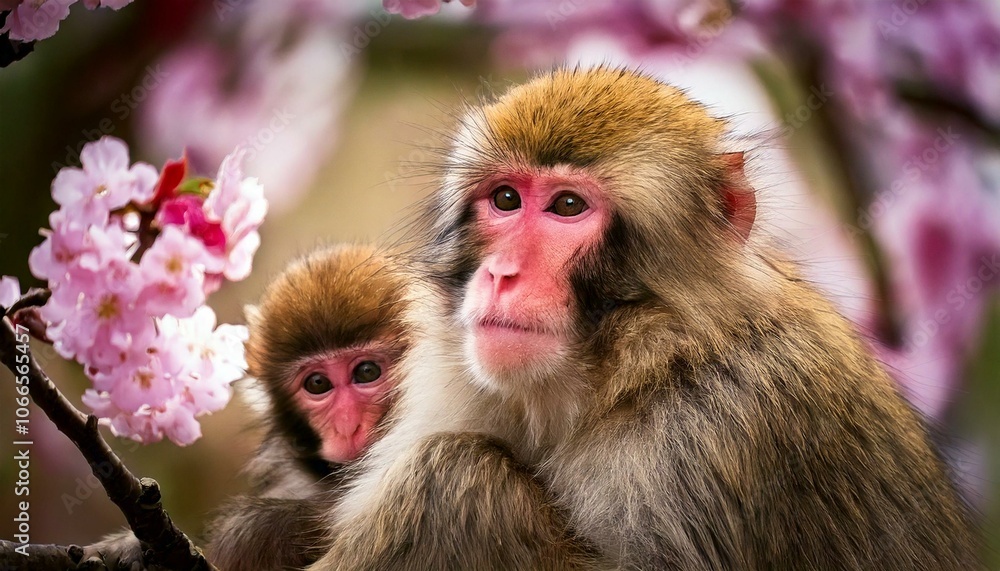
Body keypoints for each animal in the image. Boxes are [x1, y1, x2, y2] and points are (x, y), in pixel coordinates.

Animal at [306, 66, 981, 570]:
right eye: (506, 199)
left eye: (567, 206)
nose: (502, 274)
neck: (638, 369)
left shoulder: (710, 437)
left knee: (454, 477)